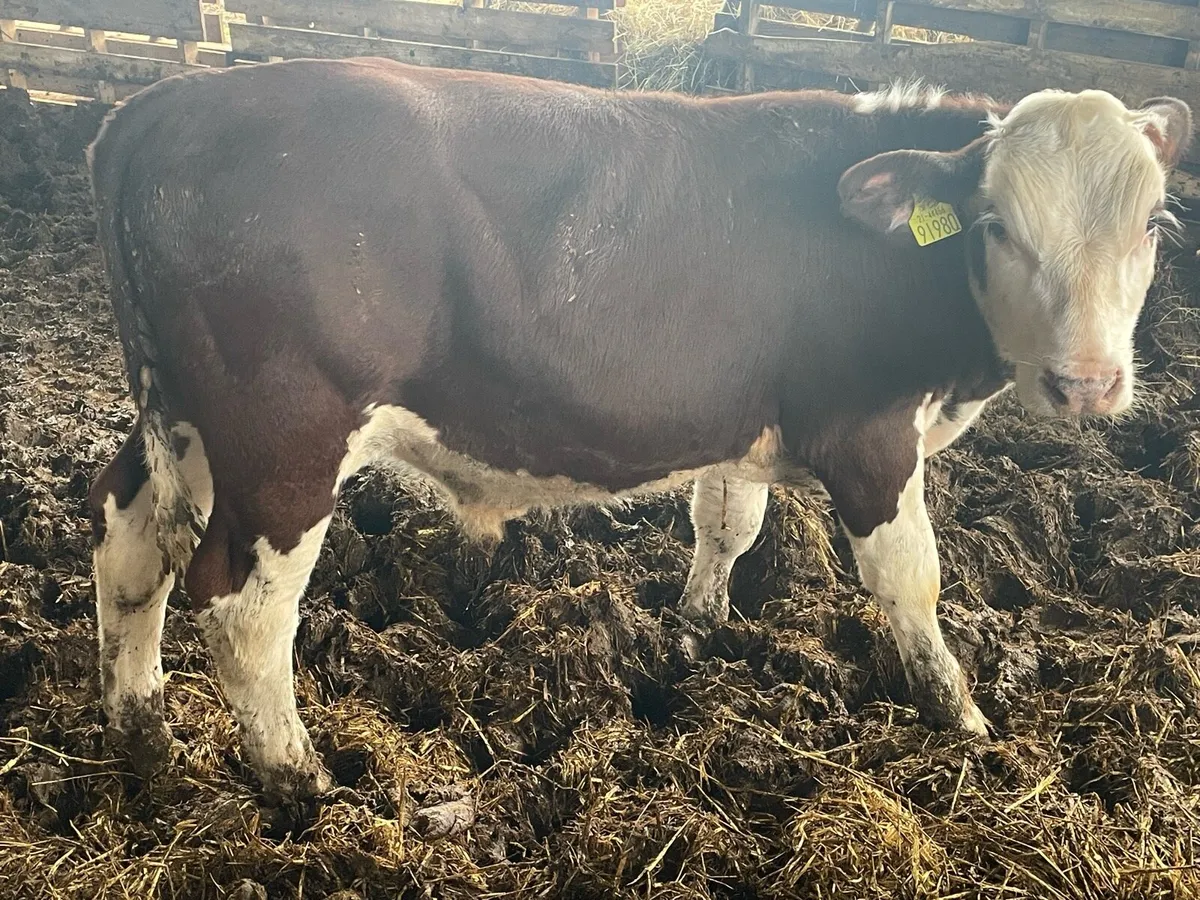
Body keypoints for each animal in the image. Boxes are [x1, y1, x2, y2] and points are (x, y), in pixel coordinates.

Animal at [85, 58, 1192, 803]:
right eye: (996, 224)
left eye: (1153, 225)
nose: (1088, 384)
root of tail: (163, 106)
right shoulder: (869, 436)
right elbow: (909, 580)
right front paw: (962, 715)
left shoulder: (740, 421)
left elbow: (727, 527)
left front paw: (695, 632)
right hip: (287, 440)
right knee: (243, 607)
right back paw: (295, 773)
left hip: (182, 422)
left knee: (127, 542)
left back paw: (142, 725)